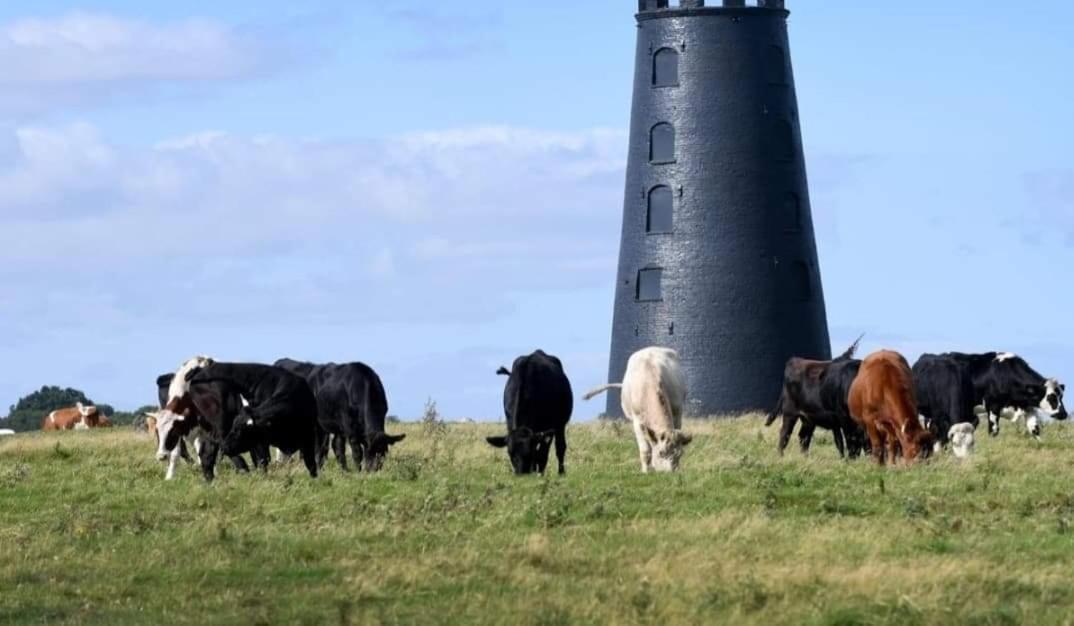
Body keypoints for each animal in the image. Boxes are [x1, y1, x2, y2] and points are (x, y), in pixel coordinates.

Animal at [184, 362, 320, 481]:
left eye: (240, 432)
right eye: (235, 429)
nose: (226, 447)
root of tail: (201, 371)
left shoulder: (309, 436)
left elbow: (311, 463)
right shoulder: (260, 442)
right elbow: (262, 461)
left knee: (207, 453)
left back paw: (211, 482)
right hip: (221, 424)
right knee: (217, 447)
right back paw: (242, 468)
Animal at [272, 358, 405, 470]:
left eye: (384, 451)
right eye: (369, 449)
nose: (373, 468)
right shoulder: (349, 428)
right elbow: (357, 452)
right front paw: (358, 471)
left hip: (336, 426)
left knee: (336, 445)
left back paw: (344, 470)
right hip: (319, 424)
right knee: (321, 447)